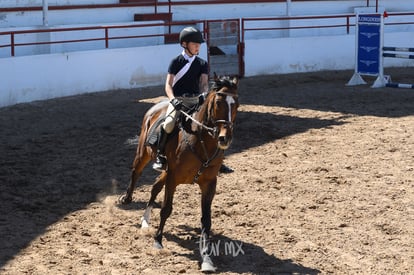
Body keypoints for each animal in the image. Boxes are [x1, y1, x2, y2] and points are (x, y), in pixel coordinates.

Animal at [118, 74, 239, 272]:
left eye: (236, 104)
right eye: (218, 103)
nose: (225, 138)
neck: (200, 141)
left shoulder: (209, 183)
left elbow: (206, 220)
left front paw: (206, 258)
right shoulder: (173, 178)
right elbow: (166, 209)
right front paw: (158, 241)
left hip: (166, 171)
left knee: (155, 186)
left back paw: (145, 221)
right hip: (144, 153)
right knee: (136, 172)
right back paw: (127, 199)